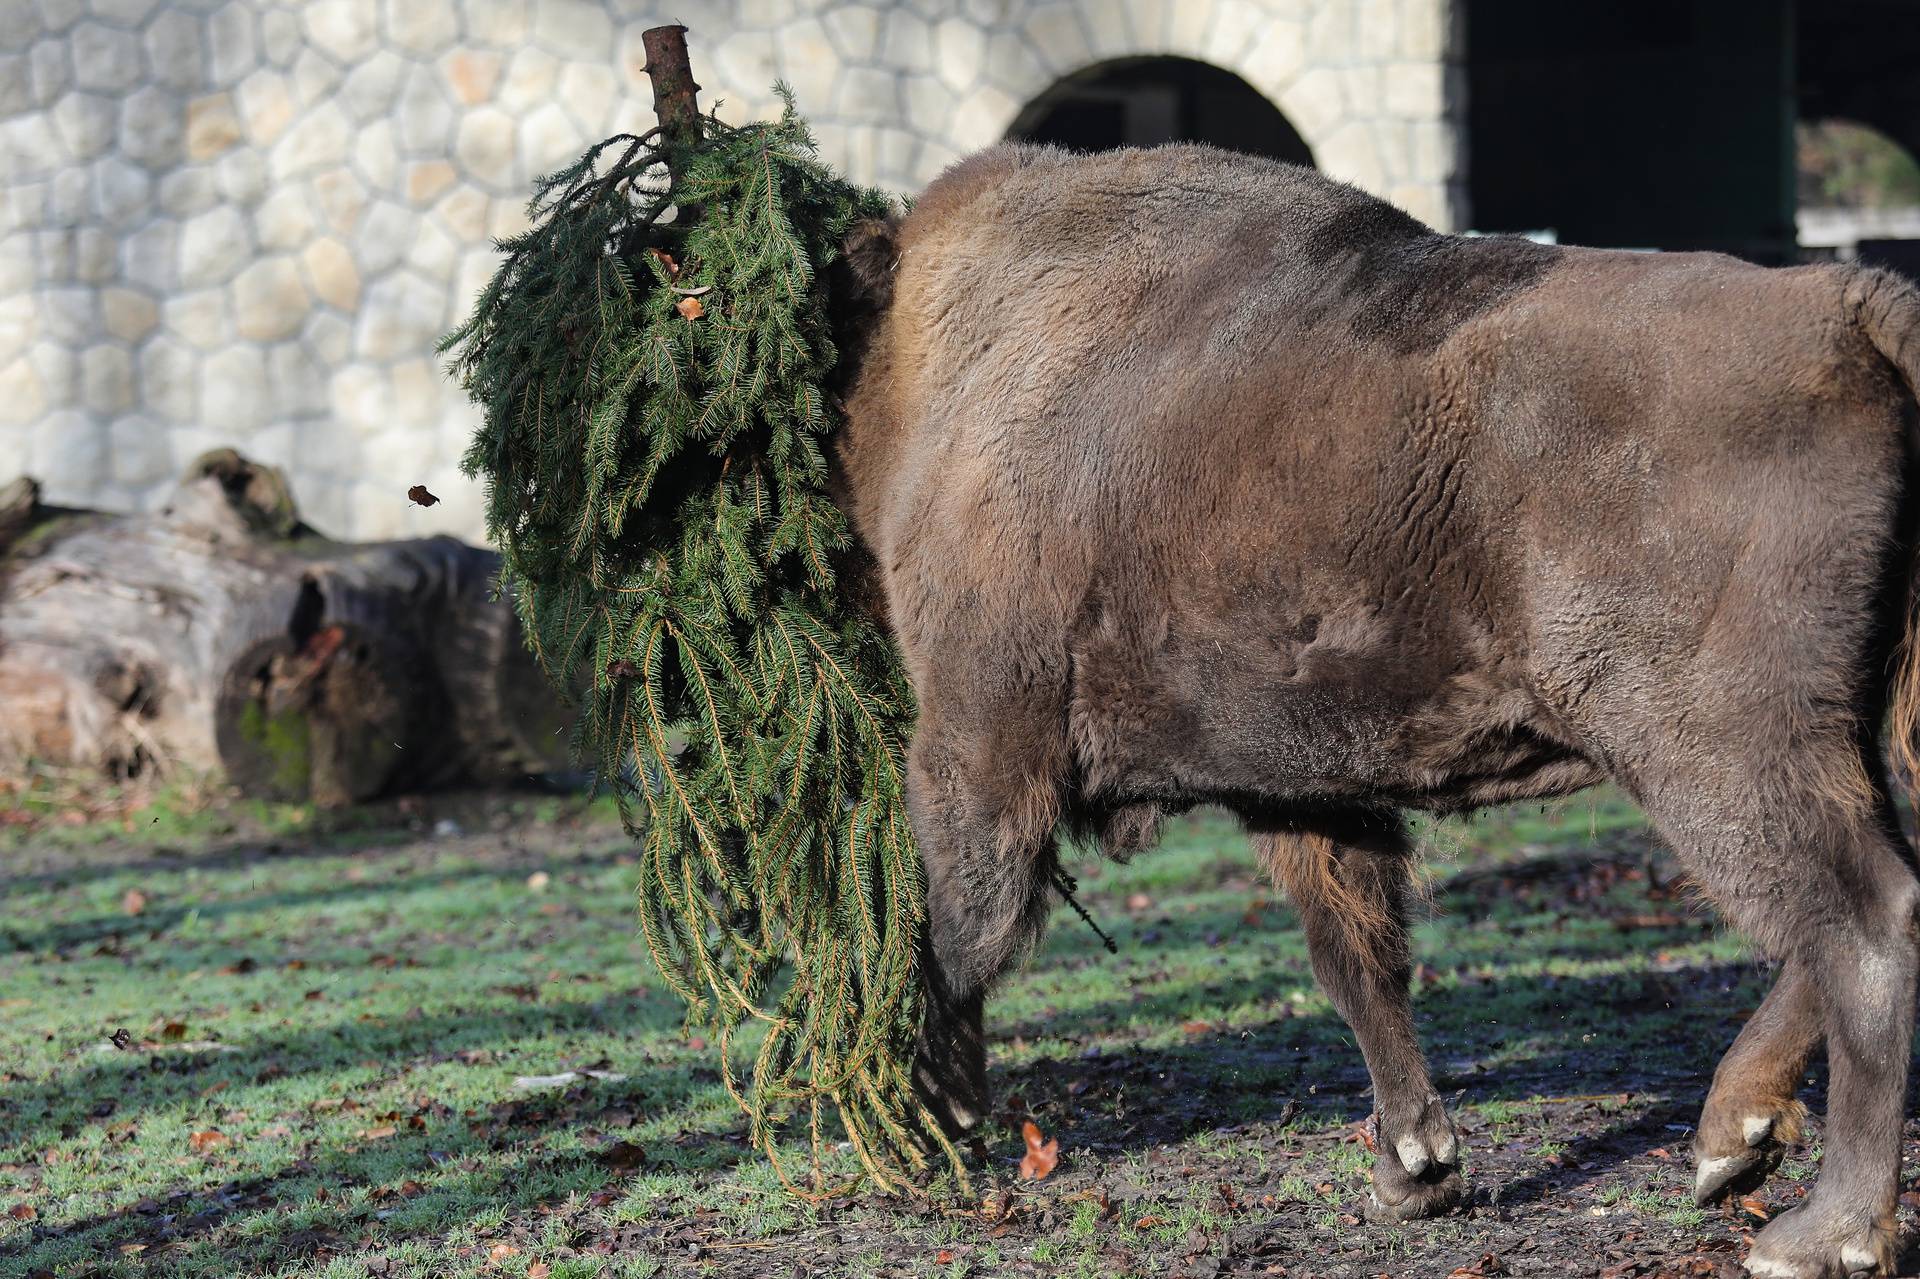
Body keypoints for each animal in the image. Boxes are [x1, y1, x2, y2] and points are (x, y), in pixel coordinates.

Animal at [837, 144, 1920, 1267]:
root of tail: (1842, 304)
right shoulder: (1304, 789)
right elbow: (1357, 957)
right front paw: (1415, 1172)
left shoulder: (979, 745)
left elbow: (958, 933)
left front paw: (928, 1121)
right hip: (1829, 734)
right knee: (1865, 903)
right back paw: (1729, 1143)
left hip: (1712, 748)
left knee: (1863, 920)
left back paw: (1820, 1230)